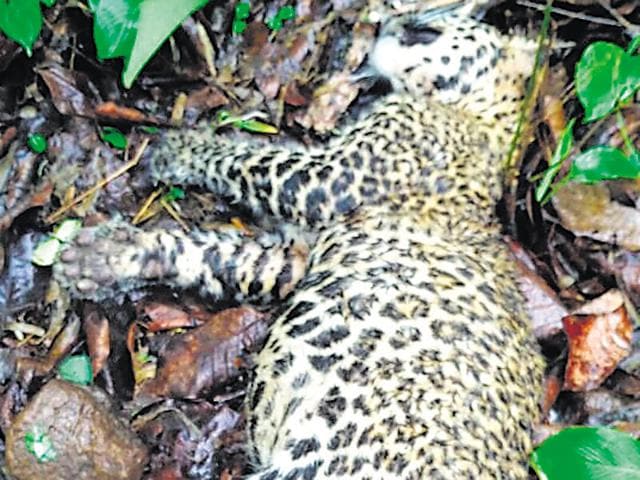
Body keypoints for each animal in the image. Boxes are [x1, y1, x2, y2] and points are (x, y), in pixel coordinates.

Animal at [53, 4, 544, 479]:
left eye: (432, 25)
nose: (385, 22)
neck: (481, 120)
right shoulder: (294, 260)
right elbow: (214, 253)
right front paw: (107, 258)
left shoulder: (328, 178)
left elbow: (248, 160)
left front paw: (180, 148)